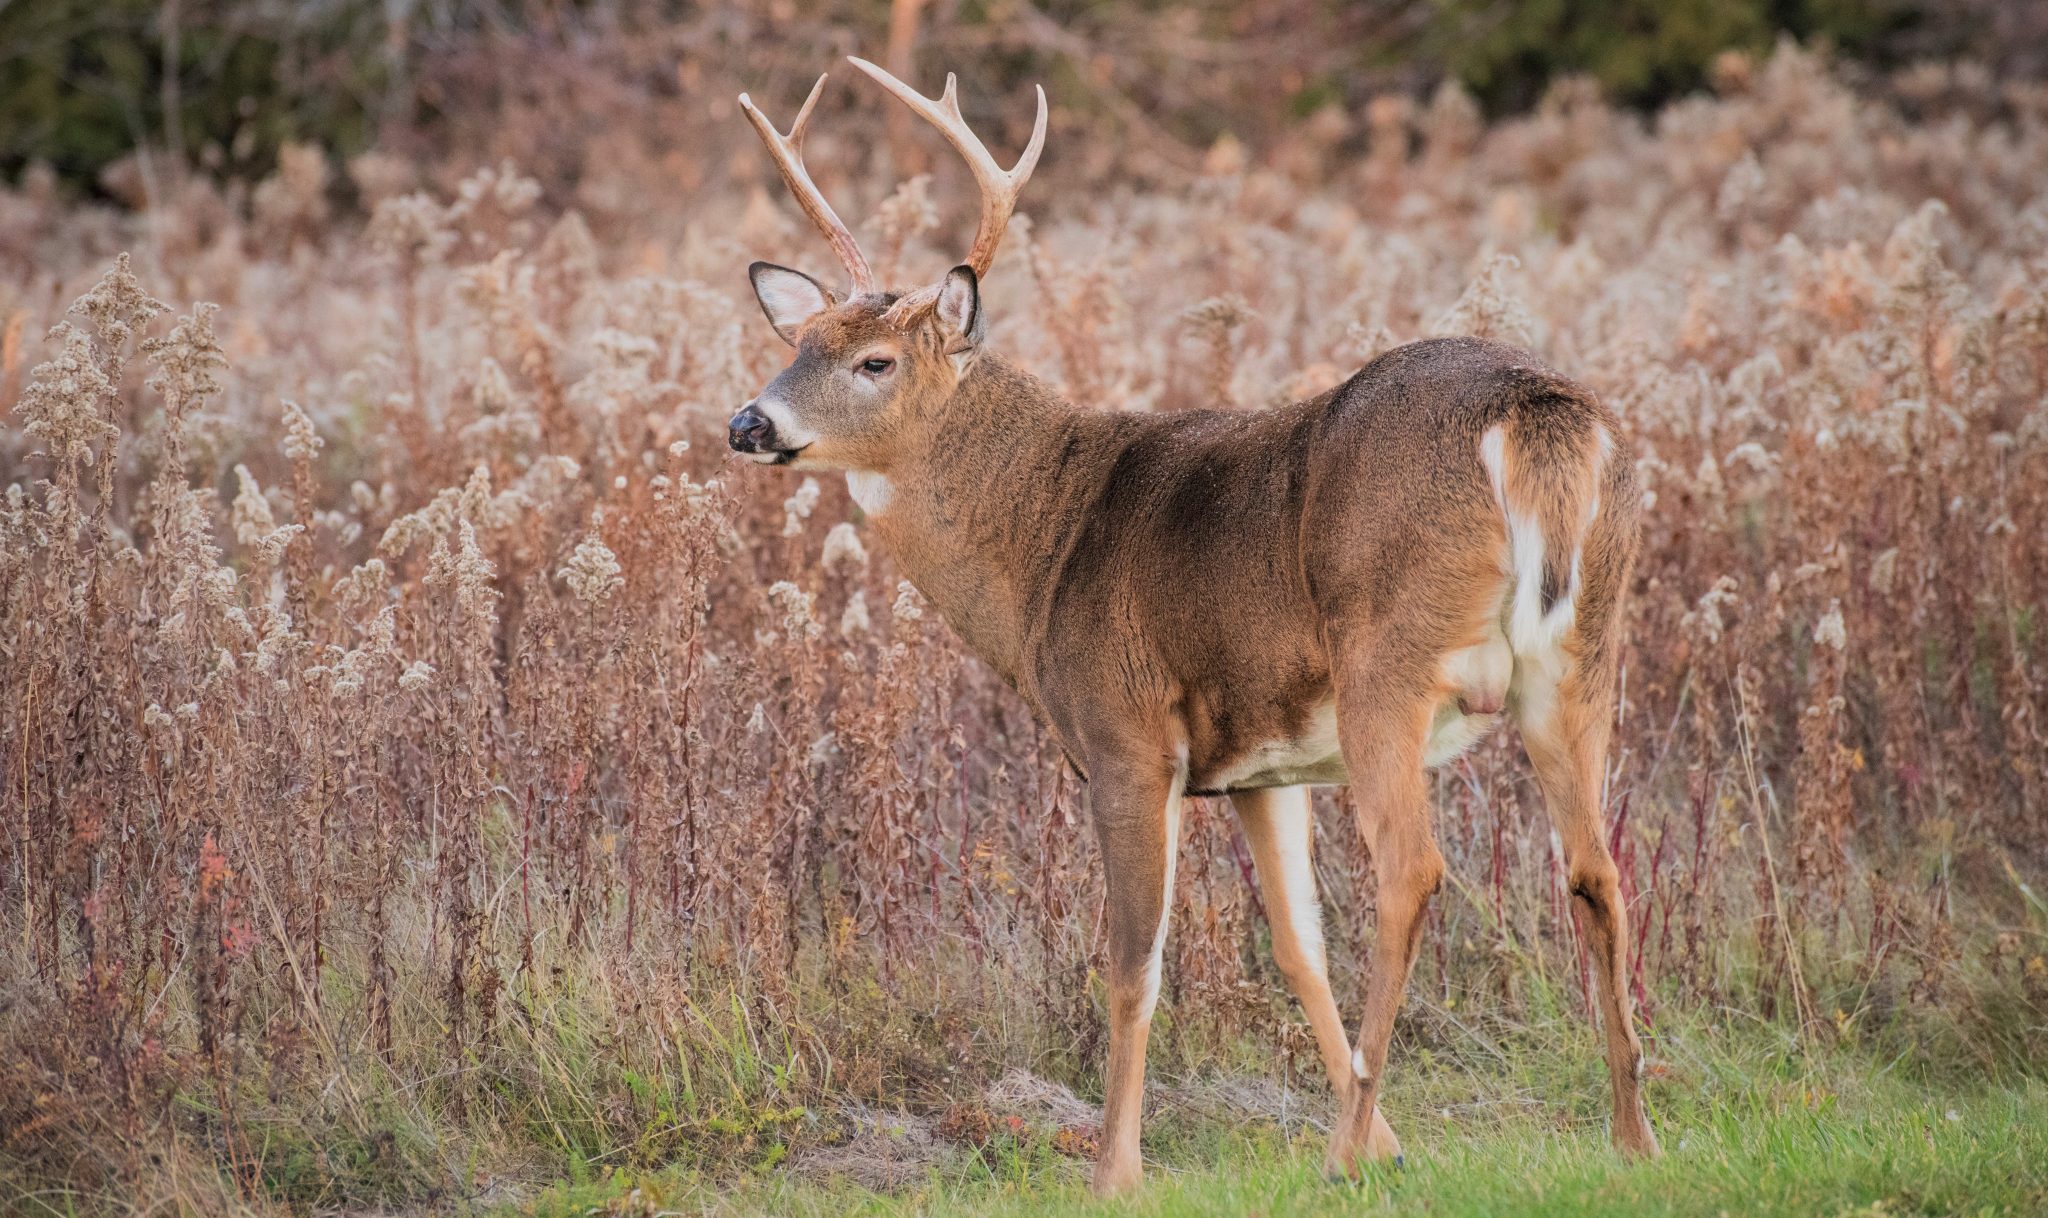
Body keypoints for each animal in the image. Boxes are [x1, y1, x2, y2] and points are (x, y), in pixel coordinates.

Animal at [729, 59, 1654, 1203]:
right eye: (798, 343)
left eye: (874, 362)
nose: (749, 423)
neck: (1043, 549)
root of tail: (1535, 413)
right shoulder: (1264, 765)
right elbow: (1297, 946)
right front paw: (1388, 1140)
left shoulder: (1127, 735)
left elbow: (1132, 966)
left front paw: (1116, 1170)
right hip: (1582, 652)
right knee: (1596, 868)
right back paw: (1631, 1138)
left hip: (1387, 657)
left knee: (1412, 870)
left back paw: (1338, 1160)